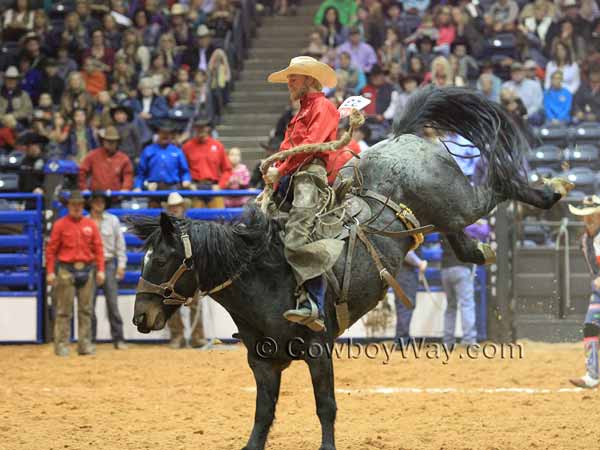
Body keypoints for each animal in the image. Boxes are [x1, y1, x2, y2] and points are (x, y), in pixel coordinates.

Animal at [127, 88, 572, 450]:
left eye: (163, 259)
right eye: (145, 258)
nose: (140, 317)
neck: (263, 279)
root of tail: (401, 136)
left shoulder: (319, 350)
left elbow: (326, 406)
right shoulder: (263, 364)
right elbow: (262, 417)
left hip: (458, 202)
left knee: (497, 187)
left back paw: (552, 190)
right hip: (444, 217)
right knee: (467, 246)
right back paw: (487, 245)